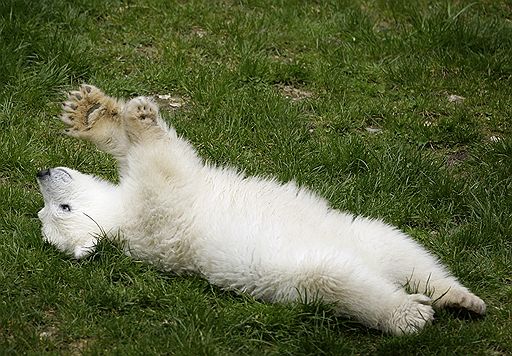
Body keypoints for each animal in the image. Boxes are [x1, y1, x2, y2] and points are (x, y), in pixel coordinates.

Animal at [36, 85, 484, 336]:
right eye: (61, 208)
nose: (41, 173)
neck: (124, 221)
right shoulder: (158, 207)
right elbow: (161, 158)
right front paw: (139, 114)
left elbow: (127, 151)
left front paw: (89, 112)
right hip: (305, 278)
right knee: (349, 285)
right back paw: (412, 314)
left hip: (365, 233)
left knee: (406, 253)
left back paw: (461, 298)